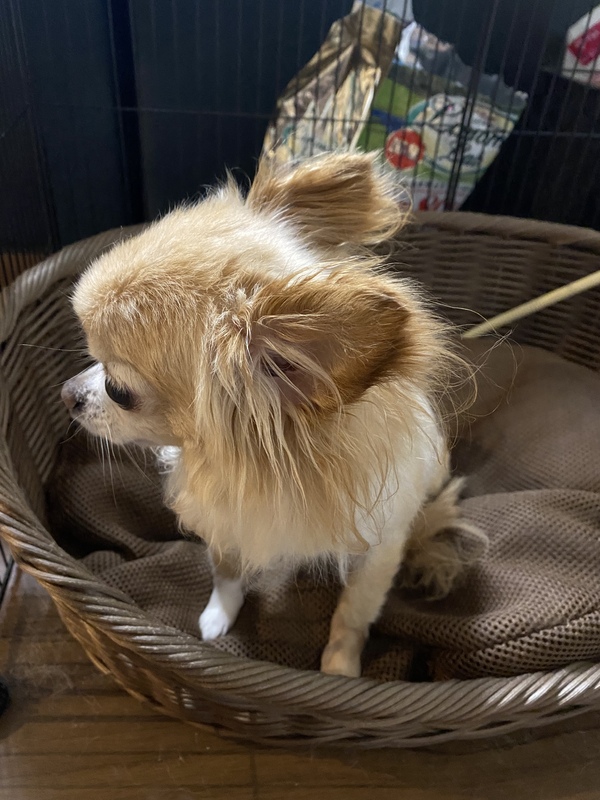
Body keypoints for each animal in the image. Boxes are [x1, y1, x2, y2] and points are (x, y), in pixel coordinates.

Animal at [61, 152, 482, 678]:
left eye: (118, 390)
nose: (67, 394)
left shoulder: (381, 549)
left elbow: (354, 612)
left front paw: (340, 664)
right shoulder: (225, 520)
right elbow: (225, 573)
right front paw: (218, 616)